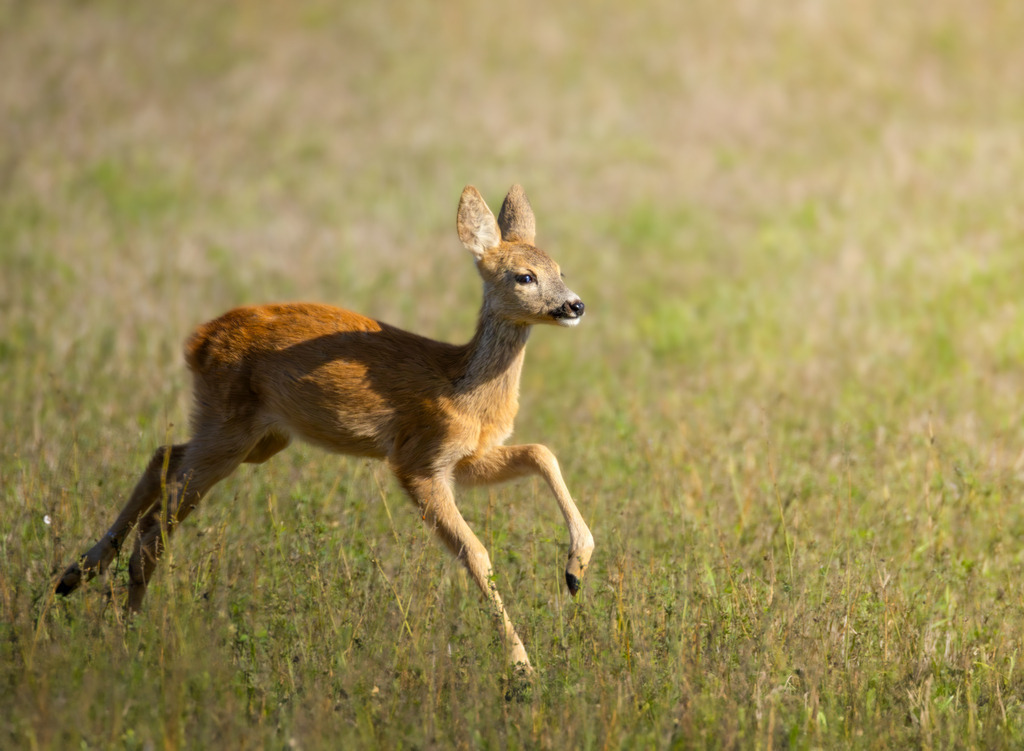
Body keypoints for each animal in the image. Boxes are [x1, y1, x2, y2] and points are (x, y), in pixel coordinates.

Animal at [55, 184, 595, 672]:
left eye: (561, 270)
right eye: (524, 276)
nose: (575, 305)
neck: (463, 386)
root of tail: (198, 341)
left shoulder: (468, 458)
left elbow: (542, 452)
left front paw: (576, 568)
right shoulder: (418, 458)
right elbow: (477, 554)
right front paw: (522, 667)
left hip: (258, 436)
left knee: (161, 455)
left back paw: (75, 576)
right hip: (229, 428)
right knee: (154, 530)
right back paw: (125, 634)